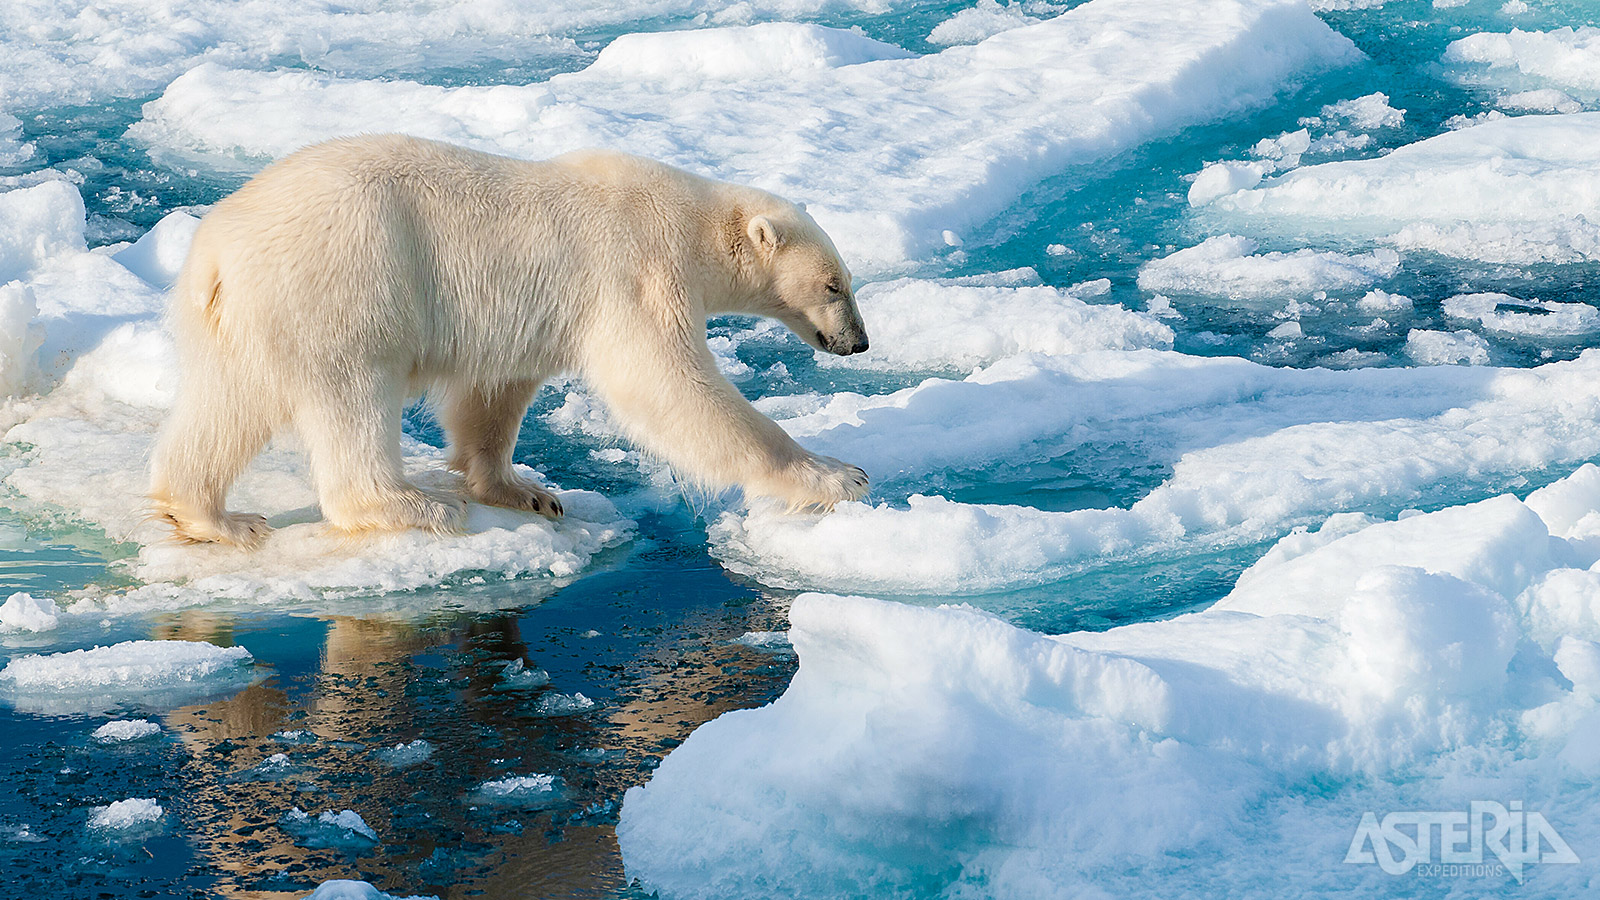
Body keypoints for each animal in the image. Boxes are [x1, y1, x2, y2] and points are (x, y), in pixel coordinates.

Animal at [148, 129, 870, 544]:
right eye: (835, 285)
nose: (858, 343)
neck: (694, 223)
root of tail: (217, 249)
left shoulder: (531, 314)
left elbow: (493, 395)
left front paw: (527, 491)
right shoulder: (637, 269)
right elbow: (667, 386)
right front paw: (837, 476)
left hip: (245, 316)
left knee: (227, 405)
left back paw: (215, 518)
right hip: (343, 282)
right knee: (352, 394)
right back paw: (413, 507)